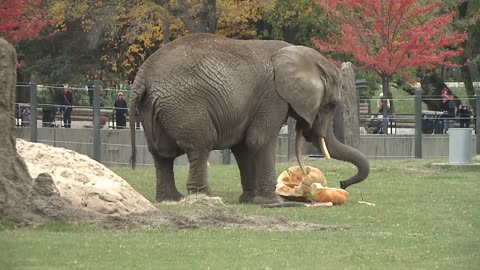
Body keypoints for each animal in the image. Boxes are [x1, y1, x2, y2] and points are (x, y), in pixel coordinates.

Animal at [129, 32, 370, 204]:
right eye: (331, 105)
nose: (343, 183)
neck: (300, 55)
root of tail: (142, 77)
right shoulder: (272, 96)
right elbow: (259, 140)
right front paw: (275, 202)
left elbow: (243, 146)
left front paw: (250, 200)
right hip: (185, 105)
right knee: (199, 147)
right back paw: (206, 198)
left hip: (154, 108)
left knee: (161, 154)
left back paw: (170, 200)